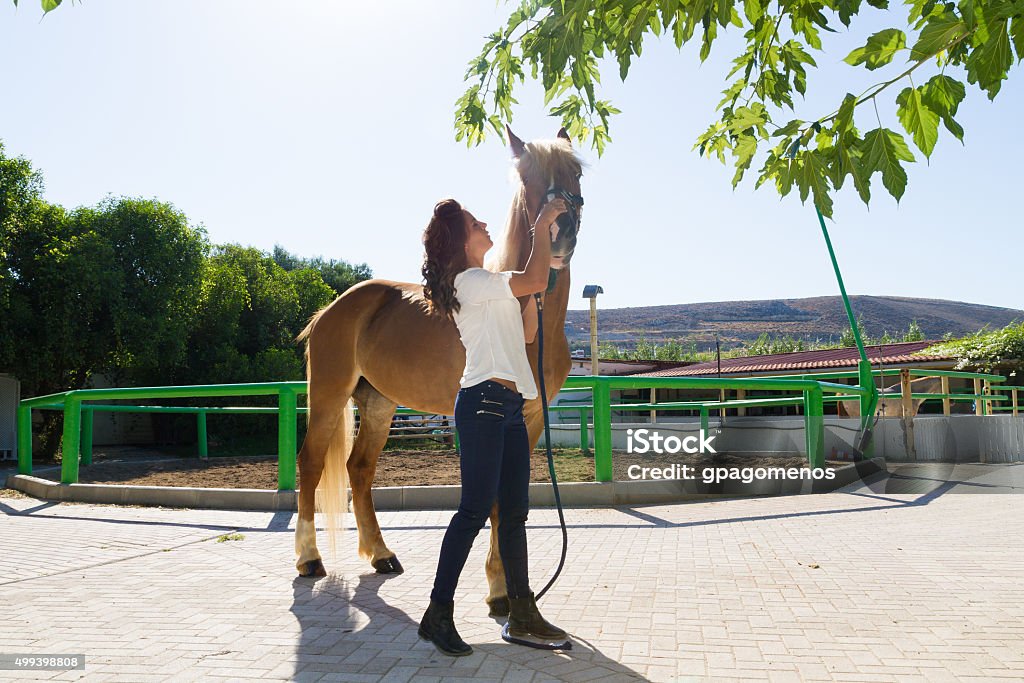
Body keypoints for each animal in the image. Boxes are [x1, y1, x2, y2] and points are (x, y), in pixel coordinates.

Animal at [292, 125, 589, 618]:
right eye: (526, 177)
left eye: (577, 172)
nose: (560, 233)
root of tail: (330, 309)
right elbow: (493, 502)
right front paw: (499, 591)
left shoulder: (528, 421)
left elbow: (512, 503)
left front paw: (509, 590)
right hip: (329, 397)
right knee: (311, 464)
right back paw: (309, 558)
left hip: (378, 403)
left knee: (359, 468)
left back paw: (381, 555)